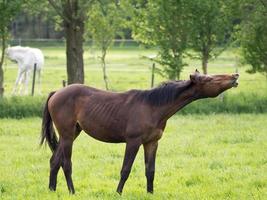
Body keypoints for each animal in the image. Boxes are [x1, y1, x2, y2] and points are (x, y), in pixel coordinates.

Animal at [40, 70, 241, 194]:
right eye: (209, 79)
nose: (235, 75)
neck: (153, 107)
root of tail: (56, 92)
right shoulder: (133, 142)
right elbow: (125, 169)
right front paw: (118, 192)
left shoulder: (151, 143)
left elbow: (150, 170)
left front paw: (150, 193)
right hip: (67, 135)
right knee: (66, 163)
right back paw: (72, 191)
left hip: (72, 133)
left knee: (54, 161)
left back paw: (52, 189)